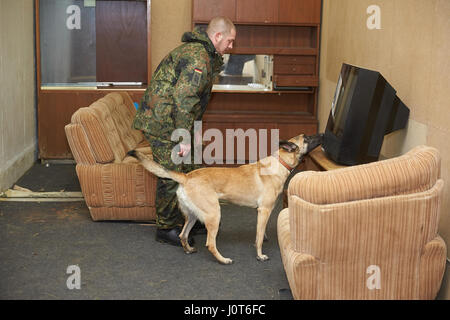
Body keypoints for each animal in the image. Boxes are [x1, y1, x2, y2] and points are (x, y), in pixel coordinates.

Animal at [128, 134, 322, 264]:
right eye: (307, 138)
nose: (321, 134)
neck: (279, 162)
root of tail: (186, 177)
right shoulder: (265, 210)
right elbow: (259, 237)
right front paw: (259, 255)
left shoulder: (259, 212)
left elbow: (260, 232)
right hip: (214, 214)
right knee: (210, 244)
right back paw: (223, 260)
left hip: (193, 215)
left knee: (183, 235)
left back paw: (189, 249)